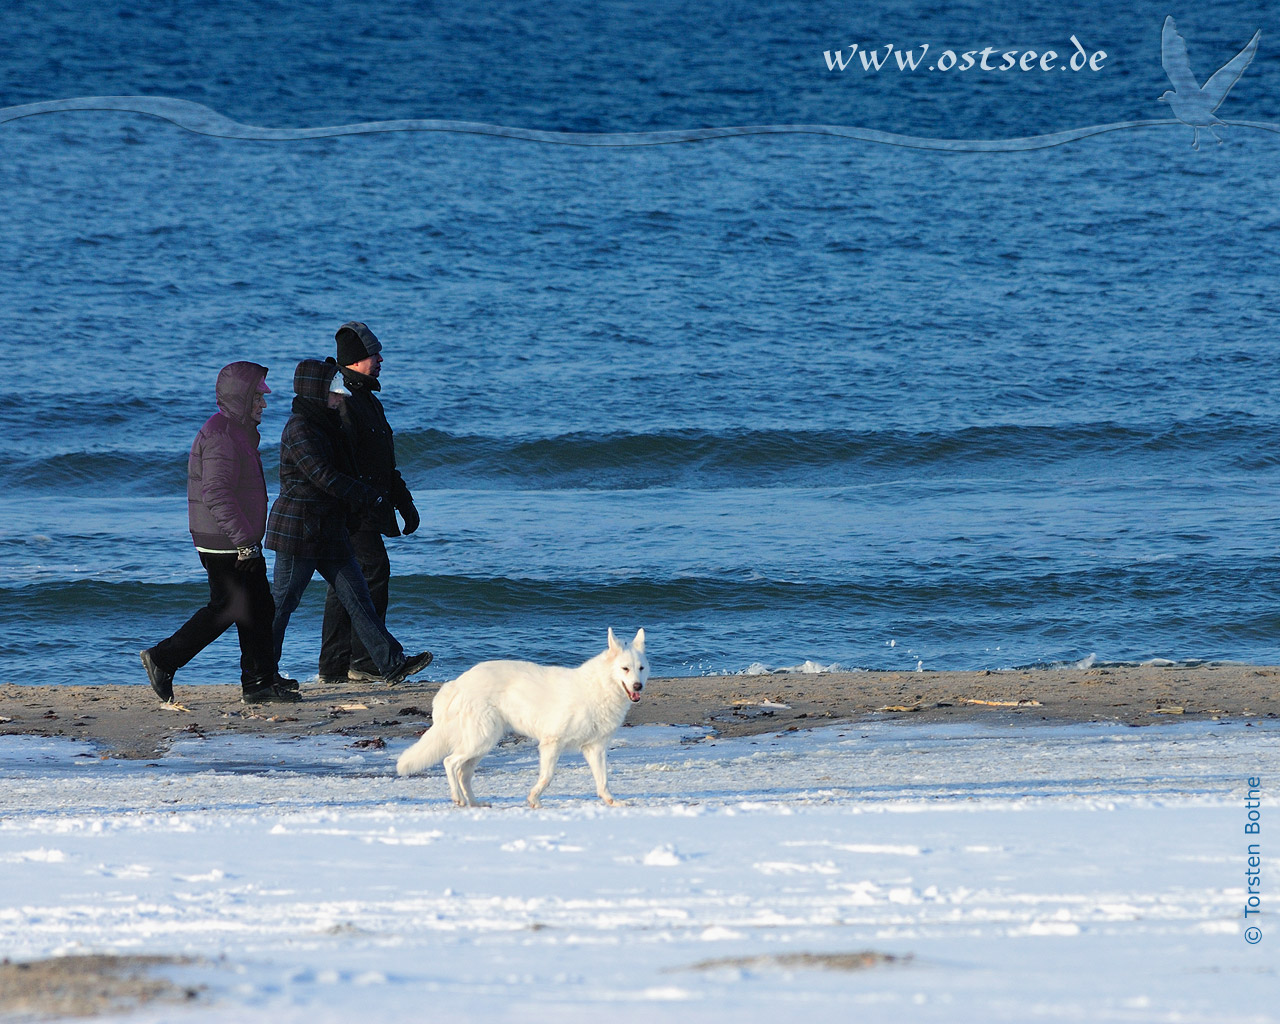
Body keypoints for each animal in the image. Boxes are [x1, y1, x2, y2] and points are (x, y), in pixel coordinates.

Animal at [391, 624, 650, 808]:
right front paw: (534, 799)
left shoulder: (594, 748)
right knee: (449, 762)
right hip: (480, 740)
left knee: (463, 772)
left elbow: (603, 781)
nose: (638, 686)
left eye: (641, 668)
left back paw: (474, 803)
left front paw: (612, 802)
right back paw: (458, 798)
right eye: (625, 669)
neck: (599, 687)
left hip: (482, 744)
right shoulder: (551, 744)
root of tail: (458, 683)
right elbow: (547, 776)